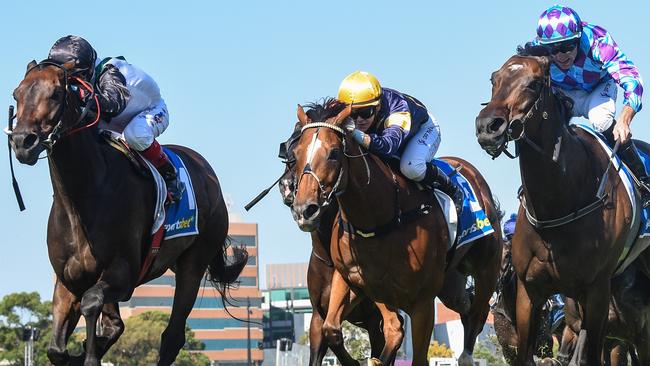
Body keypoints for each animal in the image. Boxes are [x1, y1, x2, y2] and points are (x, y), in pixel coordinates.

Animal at [8, 60, 247, 366]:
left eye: (55, 94)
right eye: (17, 94)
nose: (22, 141)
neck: (80, 201)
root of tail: (207, 171)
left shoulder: (123, 273)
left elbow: (92, 304)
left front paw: (89, 353)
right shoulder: (67, 281)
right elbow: (58, 349)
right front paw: (82, 350)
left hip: (193, 264)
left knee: (172, 336)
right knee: (117, 325)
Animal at [290, 98, 502, 364]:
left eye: (334, 153)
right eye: (295, 154)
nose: (304, 210)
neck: (379, 220)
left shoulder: (422, 302)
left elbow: (413, 350)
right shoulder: (358, 281)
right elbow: (334, 329)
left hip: (486, 268)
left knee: (478, 312)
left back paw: (466, 356)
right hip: (450, 283)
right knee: (463, 306)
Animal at [470, 48, 648, 366]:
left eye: (533, 84)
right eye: (494, 79)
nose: (488, 127)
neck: (559, 202)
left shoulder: (597, 291)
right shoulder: (530, 292)